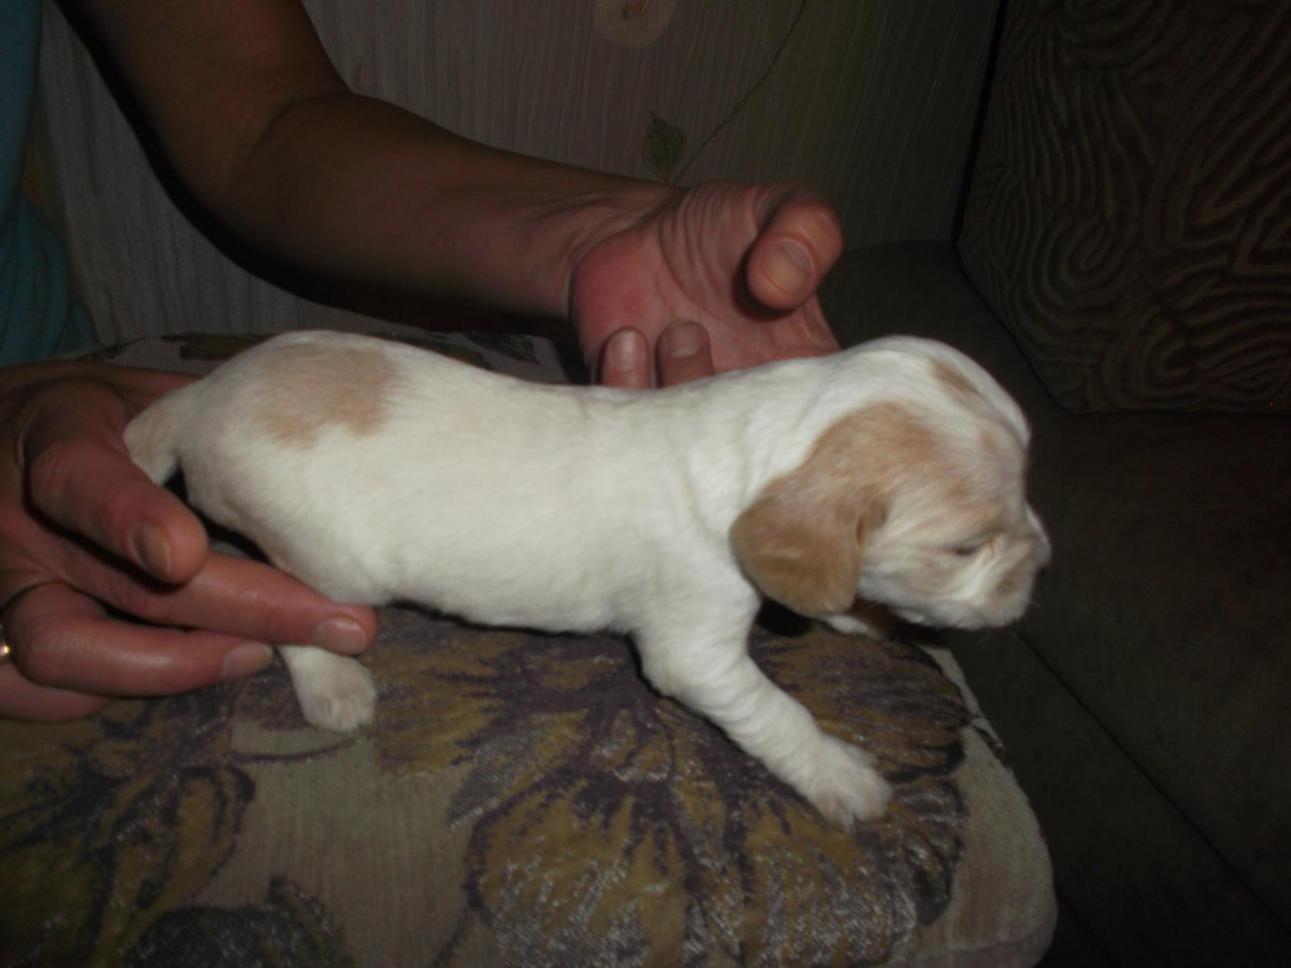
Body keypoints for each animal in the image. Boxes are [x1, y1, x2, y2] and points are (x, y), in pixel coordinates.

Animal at [126, 330, 1050, 828]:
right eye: (966, 547)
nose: (1042, 563)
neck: (778, 434)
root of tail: (202, 394)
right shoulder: (695, 655)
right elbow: (776, 713)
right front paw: (841, 775)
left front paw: (874, 618)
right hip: (329, 563)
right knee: (294, 612)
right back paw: (333, 682)